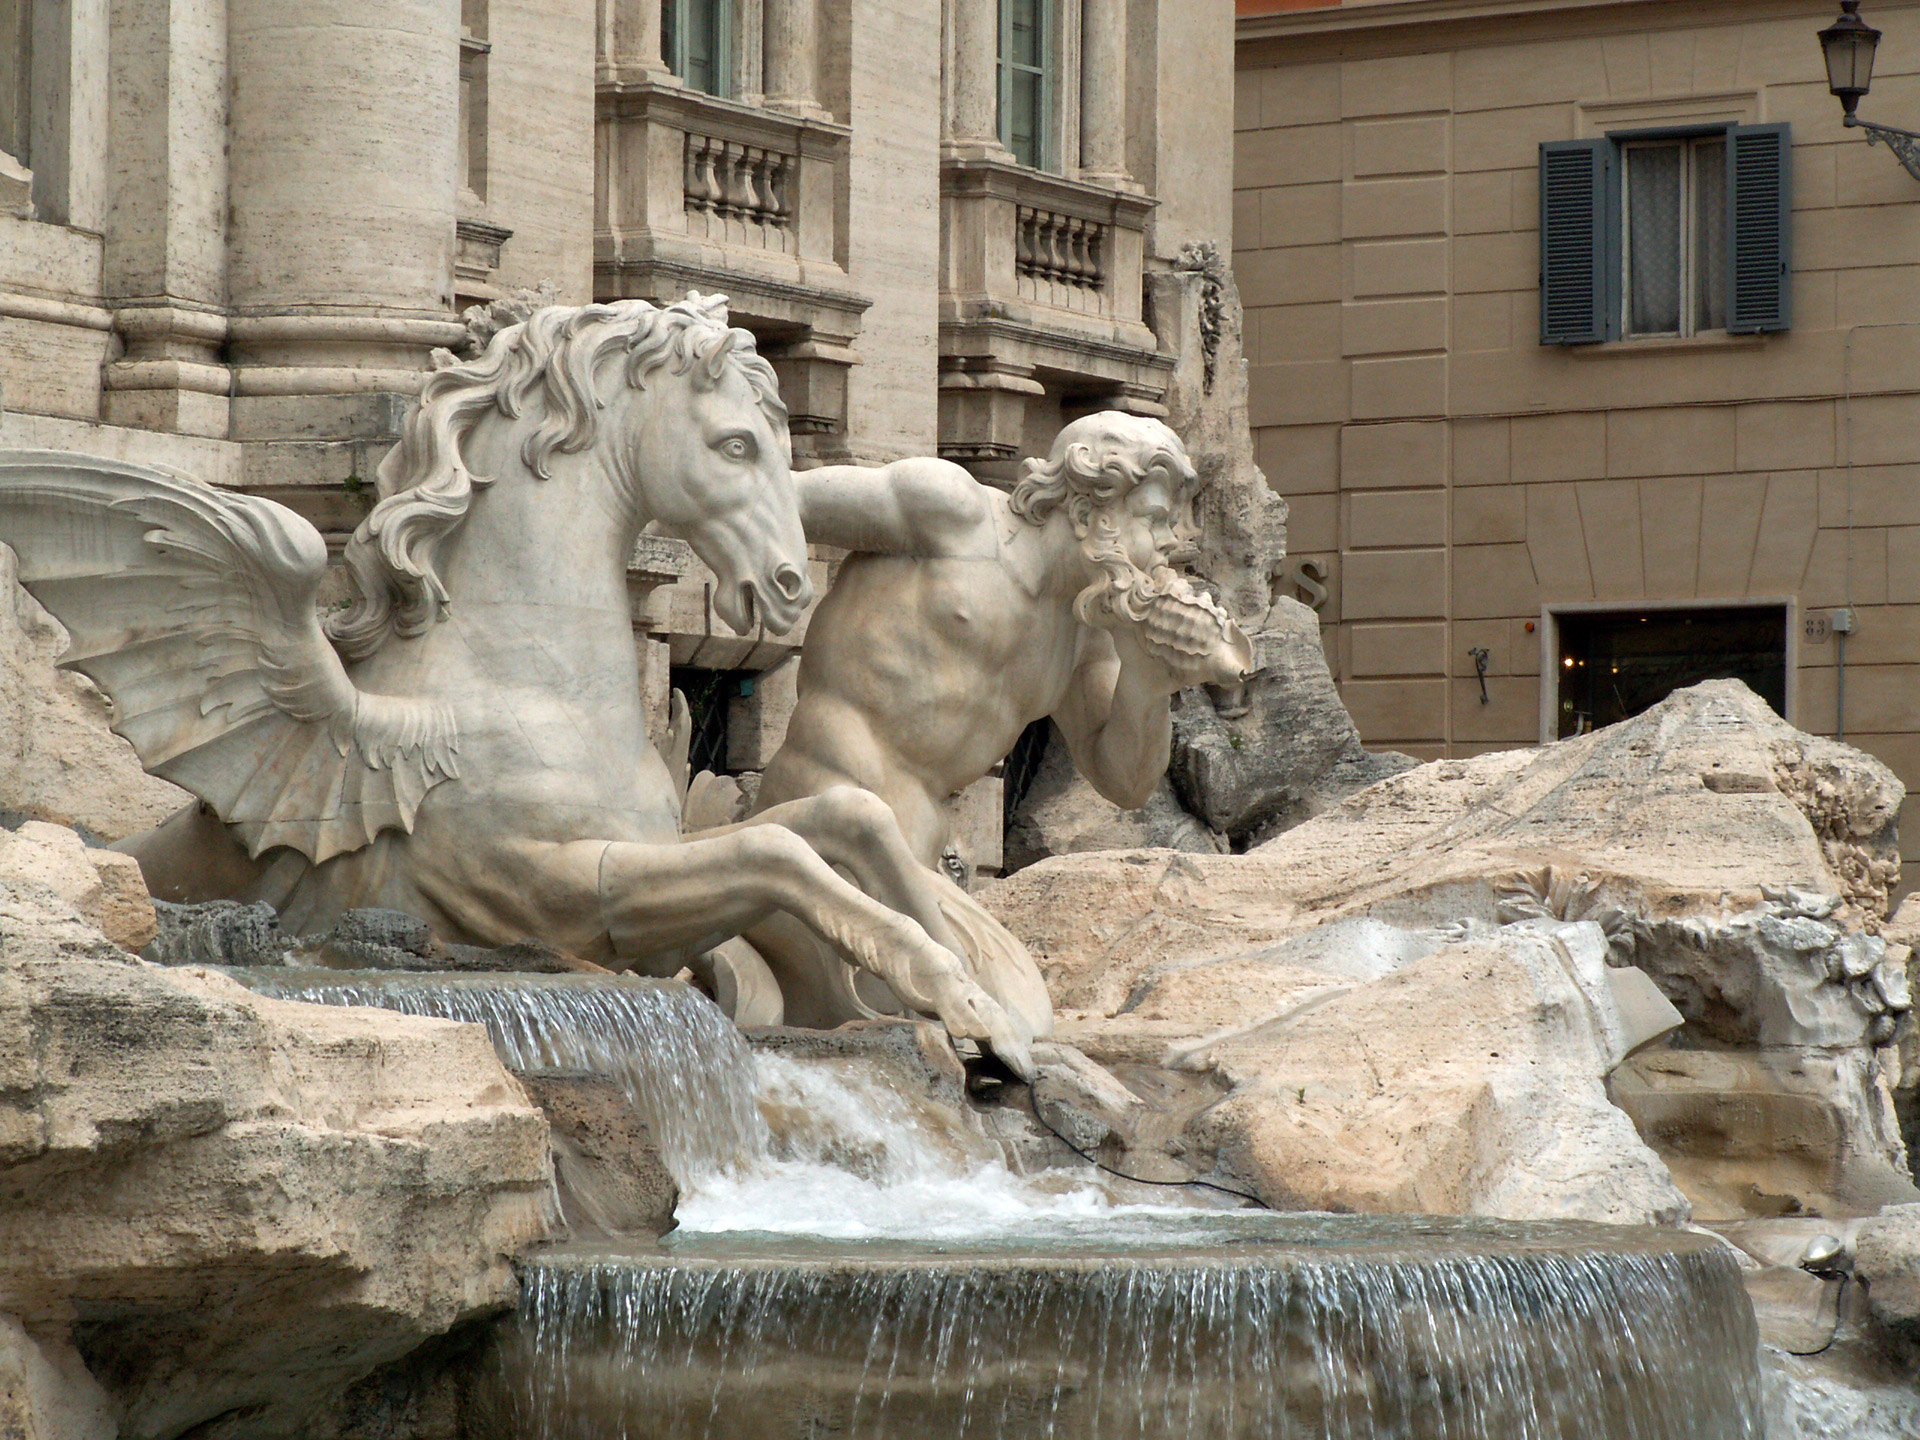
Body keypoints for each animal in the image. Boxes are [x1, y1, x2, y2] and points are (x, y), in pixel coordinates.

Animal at [0, 299, 1036, 1075]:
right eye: (737, 445)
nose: (789, 584)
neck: (531, 677)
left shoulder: (654, 859)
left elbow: (841, 816)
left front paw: (987, 985)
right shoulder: (564, 893)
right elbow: (779, 850)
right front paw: (966, 1003)